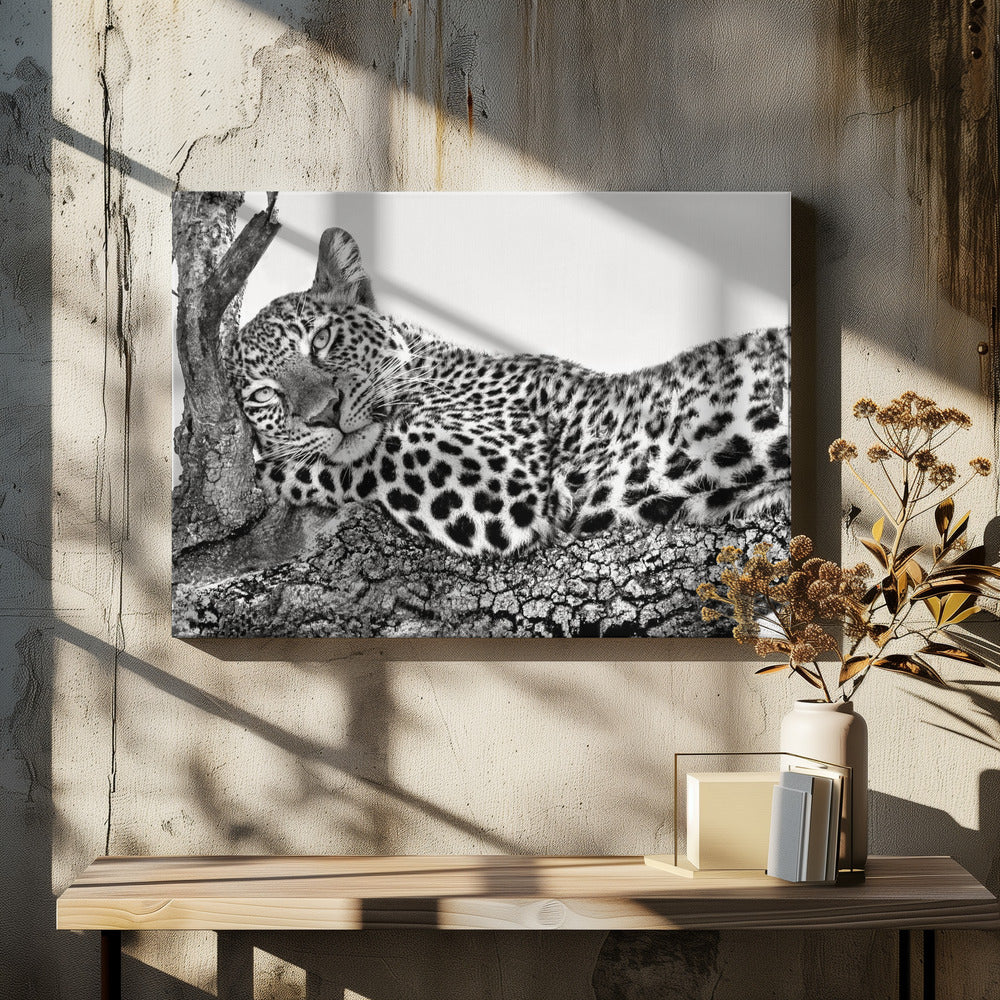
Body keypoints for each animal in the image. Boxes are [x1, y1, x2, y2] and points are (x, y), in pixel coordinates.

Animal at [225, 227, 791, 557]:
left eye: (320, 339)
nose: (326, 413)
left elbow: (365, 455)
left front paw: (266, 471)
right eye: (263, 396)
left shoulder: (503, 472)